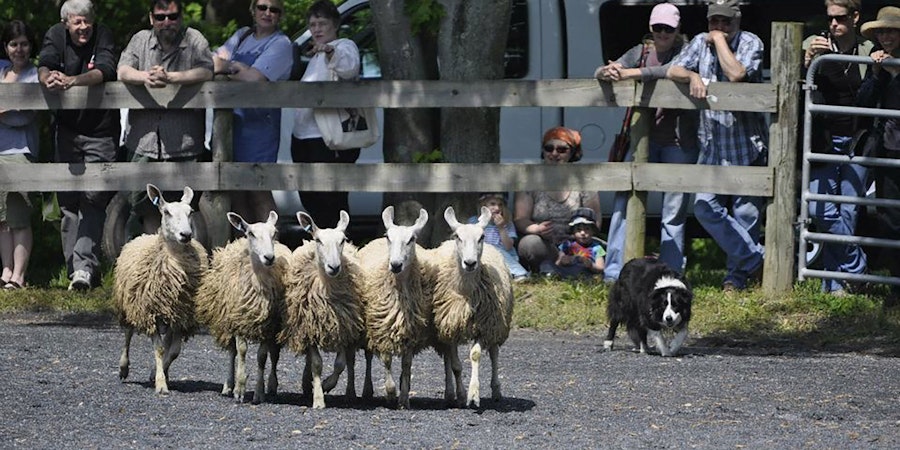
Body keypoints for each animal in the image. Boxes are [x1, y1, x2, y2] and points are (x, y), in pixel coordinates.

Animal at [114, 184, 208, 395]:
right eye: (166, 212)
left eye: (190, 212)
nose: (186, 235)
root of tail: (143, 235)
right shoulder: (150, 312)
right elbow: (159, 349)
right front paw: (161, 383)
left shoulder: (182, 315)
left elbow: (173, 351)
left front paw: (159, 373)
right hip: (130, 303)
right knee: (128, 333)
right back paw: (123, 368)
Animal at [194, 211, 291, 404]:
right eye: (251, 234)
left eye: (274, 233)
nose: (269, 257)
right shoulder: (238, 320)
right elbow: (242, 352)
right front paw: (239, 389)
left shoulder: (268, 325)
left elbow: (262, 357)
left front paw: (259, 393)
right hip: (227, 320)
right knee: (233, 352)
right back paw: (228, 386)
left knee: (274, 354)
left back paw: (272, 386)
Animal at [278, 210, 369, 409]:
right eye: (318, 240)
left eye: (342, 240)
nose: (334, 267)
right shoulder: (310, 326)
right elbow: (317, 363)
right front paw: (319, 398)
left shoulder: (344, 327)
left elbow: (340, 364)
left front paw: (327, 384)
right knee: (309, 359)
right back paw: (307, 384)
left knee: (350, 362)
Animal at [357, 206, 433, 409]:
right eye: (388, 237)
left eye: (412, 239)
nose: (396, 265)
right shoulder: (381, 329)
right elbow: (386, 361)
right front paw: (391, 394)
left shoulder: (410, 333)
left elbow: (406, 366)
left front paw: (404, 397)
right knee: (368, 357)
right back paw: (367, 390)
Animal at [428, 206, 515, 408]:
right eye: (457, 237)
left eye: (481, 237)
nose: (470, 263)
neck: (465, 293)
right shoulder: (449, 326)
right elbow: (455, 365)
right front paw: (460, 395)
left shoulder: (483, 327)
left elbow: (475, 355)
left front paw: (473, 394)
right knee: (447, 359)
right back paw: (449, 393)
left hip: (497, 324)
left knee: (494, 353)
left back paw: (496, 391)